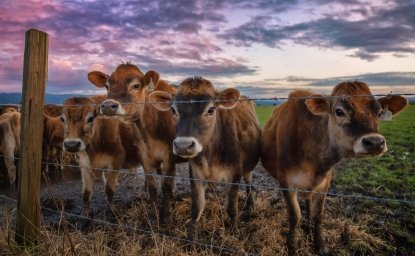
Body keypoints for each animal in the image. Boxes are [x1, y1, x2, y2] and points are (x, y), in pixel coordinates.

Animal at [87, 62, 178, 224]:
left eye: (135, 86)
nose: (108, 105)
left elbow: (166, 187)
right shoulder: (145, 156)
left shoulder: (169, 156)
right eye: (106, 86)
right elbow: (153, 188)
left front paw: (167, 218)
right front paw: (153, 217)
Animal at [148, 76, 262, 238]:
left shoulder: (234, 174)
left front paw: (234, 231)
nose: (183, 145)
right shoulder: (196, 172)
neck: (211, 153)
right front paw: (192, 236)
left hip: (248, 168)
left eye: (211, 110)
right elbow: (197, 207)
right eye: (173, 110)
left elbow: (232, 208)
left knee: (249, 183)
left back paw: (250, 204)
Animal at [262, 81, 408, 255]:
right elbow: (294, 216)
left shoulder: (324, 182)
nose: (375, 142)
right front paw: (292, 246)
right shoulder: (286, 182)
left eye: (379, 112)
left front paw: (320, 245)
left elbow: (318, 215)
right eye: (339, 111)